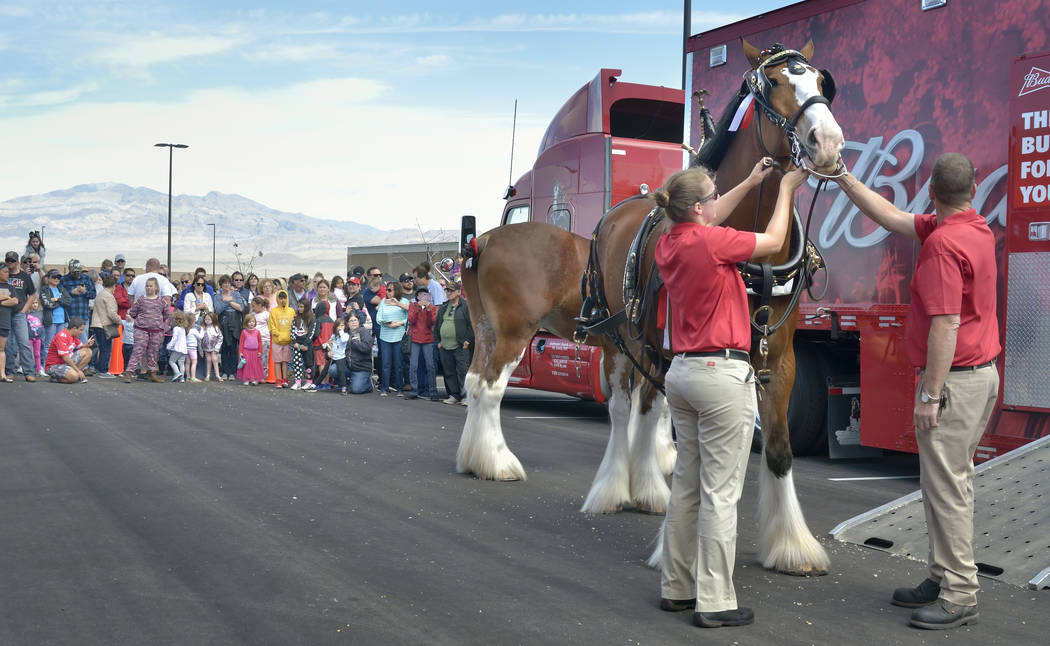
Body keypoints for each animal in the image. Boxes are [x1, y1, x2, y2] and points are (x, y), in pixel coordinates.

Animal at [459, 40, 844, 575]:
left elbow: (778, 447)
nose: (827, 142)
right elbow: (669, 429)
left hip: (524, 332)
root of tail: (481, 242)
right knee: (508, 390)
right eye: (773, 84)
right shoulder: (670, 351)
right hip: (534, 332)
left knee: (484, 383)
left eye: (822, 82)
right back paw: (508, 465)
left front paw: (791, 546)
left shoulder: (779, 358)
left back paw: (484, 460)